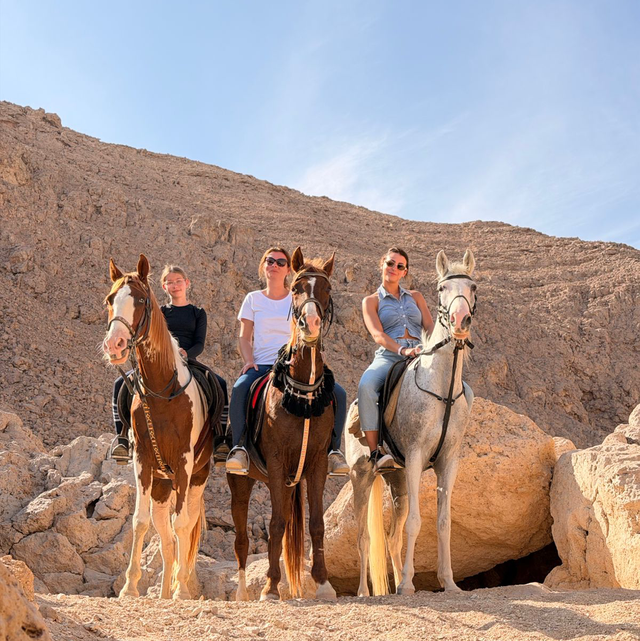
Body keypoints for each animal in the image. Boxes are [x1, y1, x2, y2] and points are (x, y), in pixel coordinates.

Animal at [102, 254, 220, 600]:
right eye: (111, 300)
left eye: (141, 300)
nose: (115, 345)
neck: (161, 390)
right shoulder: (142, 460)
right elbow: (139, 522)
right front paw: (129, 587)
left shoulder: (183, 463)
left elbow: (183, 525)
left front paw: (182, 590)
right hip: (161, 485)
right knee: (164, 535)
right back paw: (165, 591)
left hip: (195, 478)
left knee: (186, 525)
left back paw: (180, 586)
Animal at [346, 249, 477, 596]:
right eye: (442, 288)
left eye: (473, 287)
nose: (461, 321)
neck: (442, 390)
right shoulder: (417, 456)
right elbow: (417, 523)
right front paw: (407, 584)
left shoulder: (448, 461)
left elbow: (443, 522)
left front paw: (448, 583)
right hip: (361, 476)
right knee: (364, 537)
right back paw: (365, 592)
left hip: (398, 481)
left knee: (391, 538)